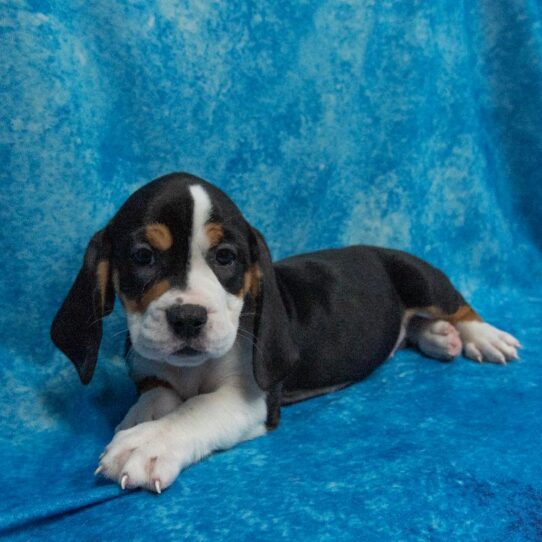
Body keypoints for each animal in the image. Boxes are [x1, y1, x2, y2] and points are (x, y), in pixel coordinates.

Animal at [51, 172, 524, 496]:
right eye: (142, 257)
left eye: (226, 258)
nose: (188, 318)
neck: (191, 369)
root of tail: (377, 248)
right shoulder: (153, 371)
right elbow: (157, 393)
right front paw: (140, 418)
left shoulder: (251, 398)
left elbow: (196, 410)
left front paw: (149, 442)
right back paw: (439, 337)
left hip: (421, 278)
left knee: (457, 304)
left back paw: (482, 336)